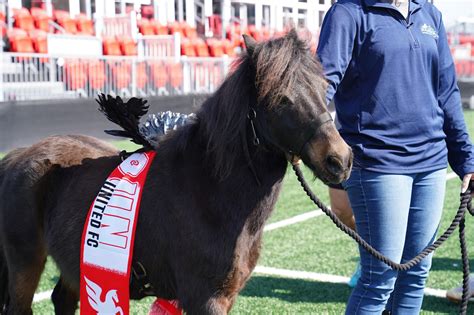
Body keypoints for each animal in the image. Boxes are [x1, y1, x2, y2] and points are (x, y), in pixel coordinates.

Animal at [0, 32, 352, 315]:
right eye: (280, 98)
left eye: (324, 87)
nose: (340, 160)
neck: (208, 190)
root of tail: (16, 156)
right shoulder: (205, 299)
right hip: (24, 264)